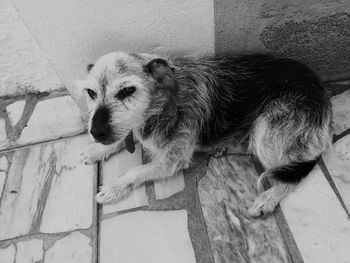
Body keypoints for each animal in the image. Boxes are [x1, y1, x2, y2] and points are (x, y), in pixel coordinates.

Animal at [75, 51, 332, 217]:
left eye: (127, 91)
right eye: (91, 93)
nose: (96, 132)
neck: (163, 104)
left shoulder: (172, 161)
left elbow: (134, 171)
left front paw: (113, 187)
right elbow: (123, 139)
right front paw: (97, 150)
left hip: (266, 130)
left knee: (291, 175)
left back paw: (267, 199)